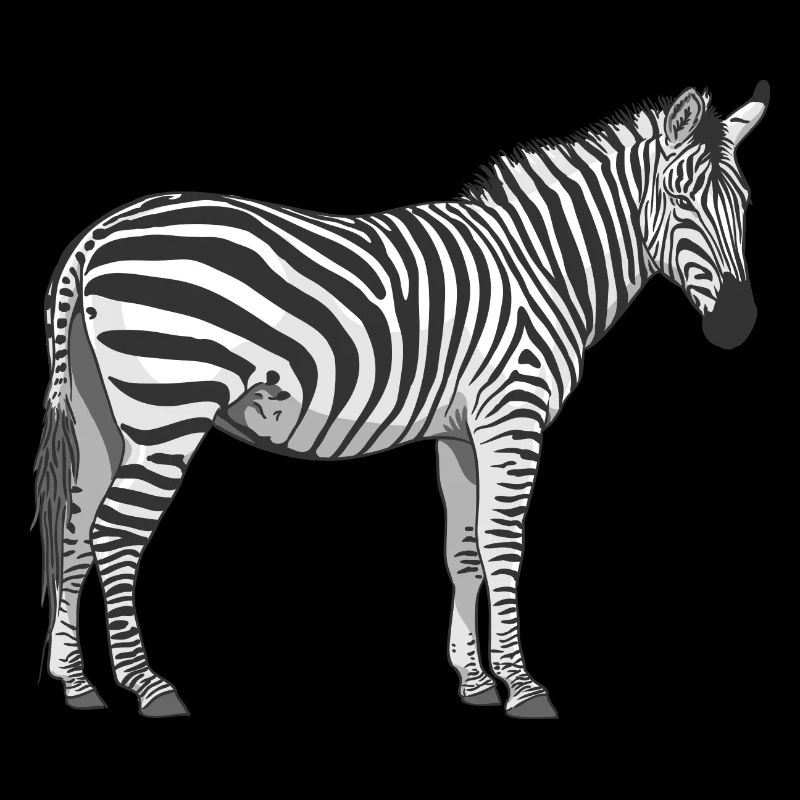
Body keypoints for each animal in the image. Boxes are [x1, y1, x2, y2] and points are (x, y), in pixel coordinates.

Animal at [33, 81, 768, 719]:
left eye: (745, 203)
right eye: (681, 201)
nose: (738, 326)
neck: (543, 266)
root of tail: (97, 235)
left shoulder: (463, 431)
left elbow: (463, 549)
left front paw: (475, 681)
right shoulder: (513, 414)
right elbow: (503, 544)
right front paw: (524, 687)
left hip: (101, 415)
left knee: (74, 526)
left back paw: (77, 683)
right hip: (170, 409)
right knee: (114, 531)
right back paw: (149, 686)